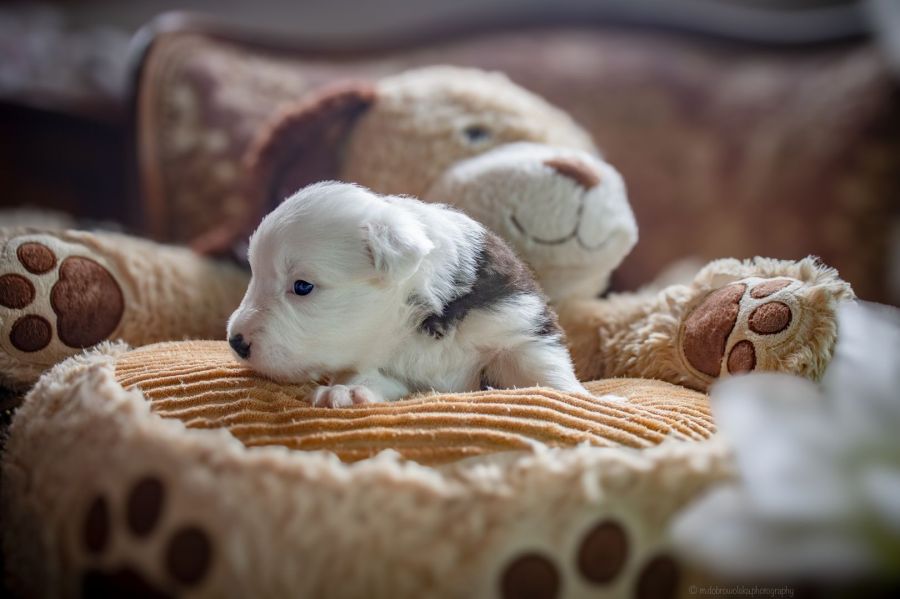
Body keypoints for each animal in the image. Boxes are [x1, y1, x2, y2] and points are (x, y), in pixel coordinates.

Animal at [229, 182, 588, 408]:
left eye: (302, 286)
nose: (236, 341)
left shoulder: (517, 326)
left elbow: (544, 369)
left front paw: (579, 396)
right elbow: (373, 377)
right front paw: (348, 390)